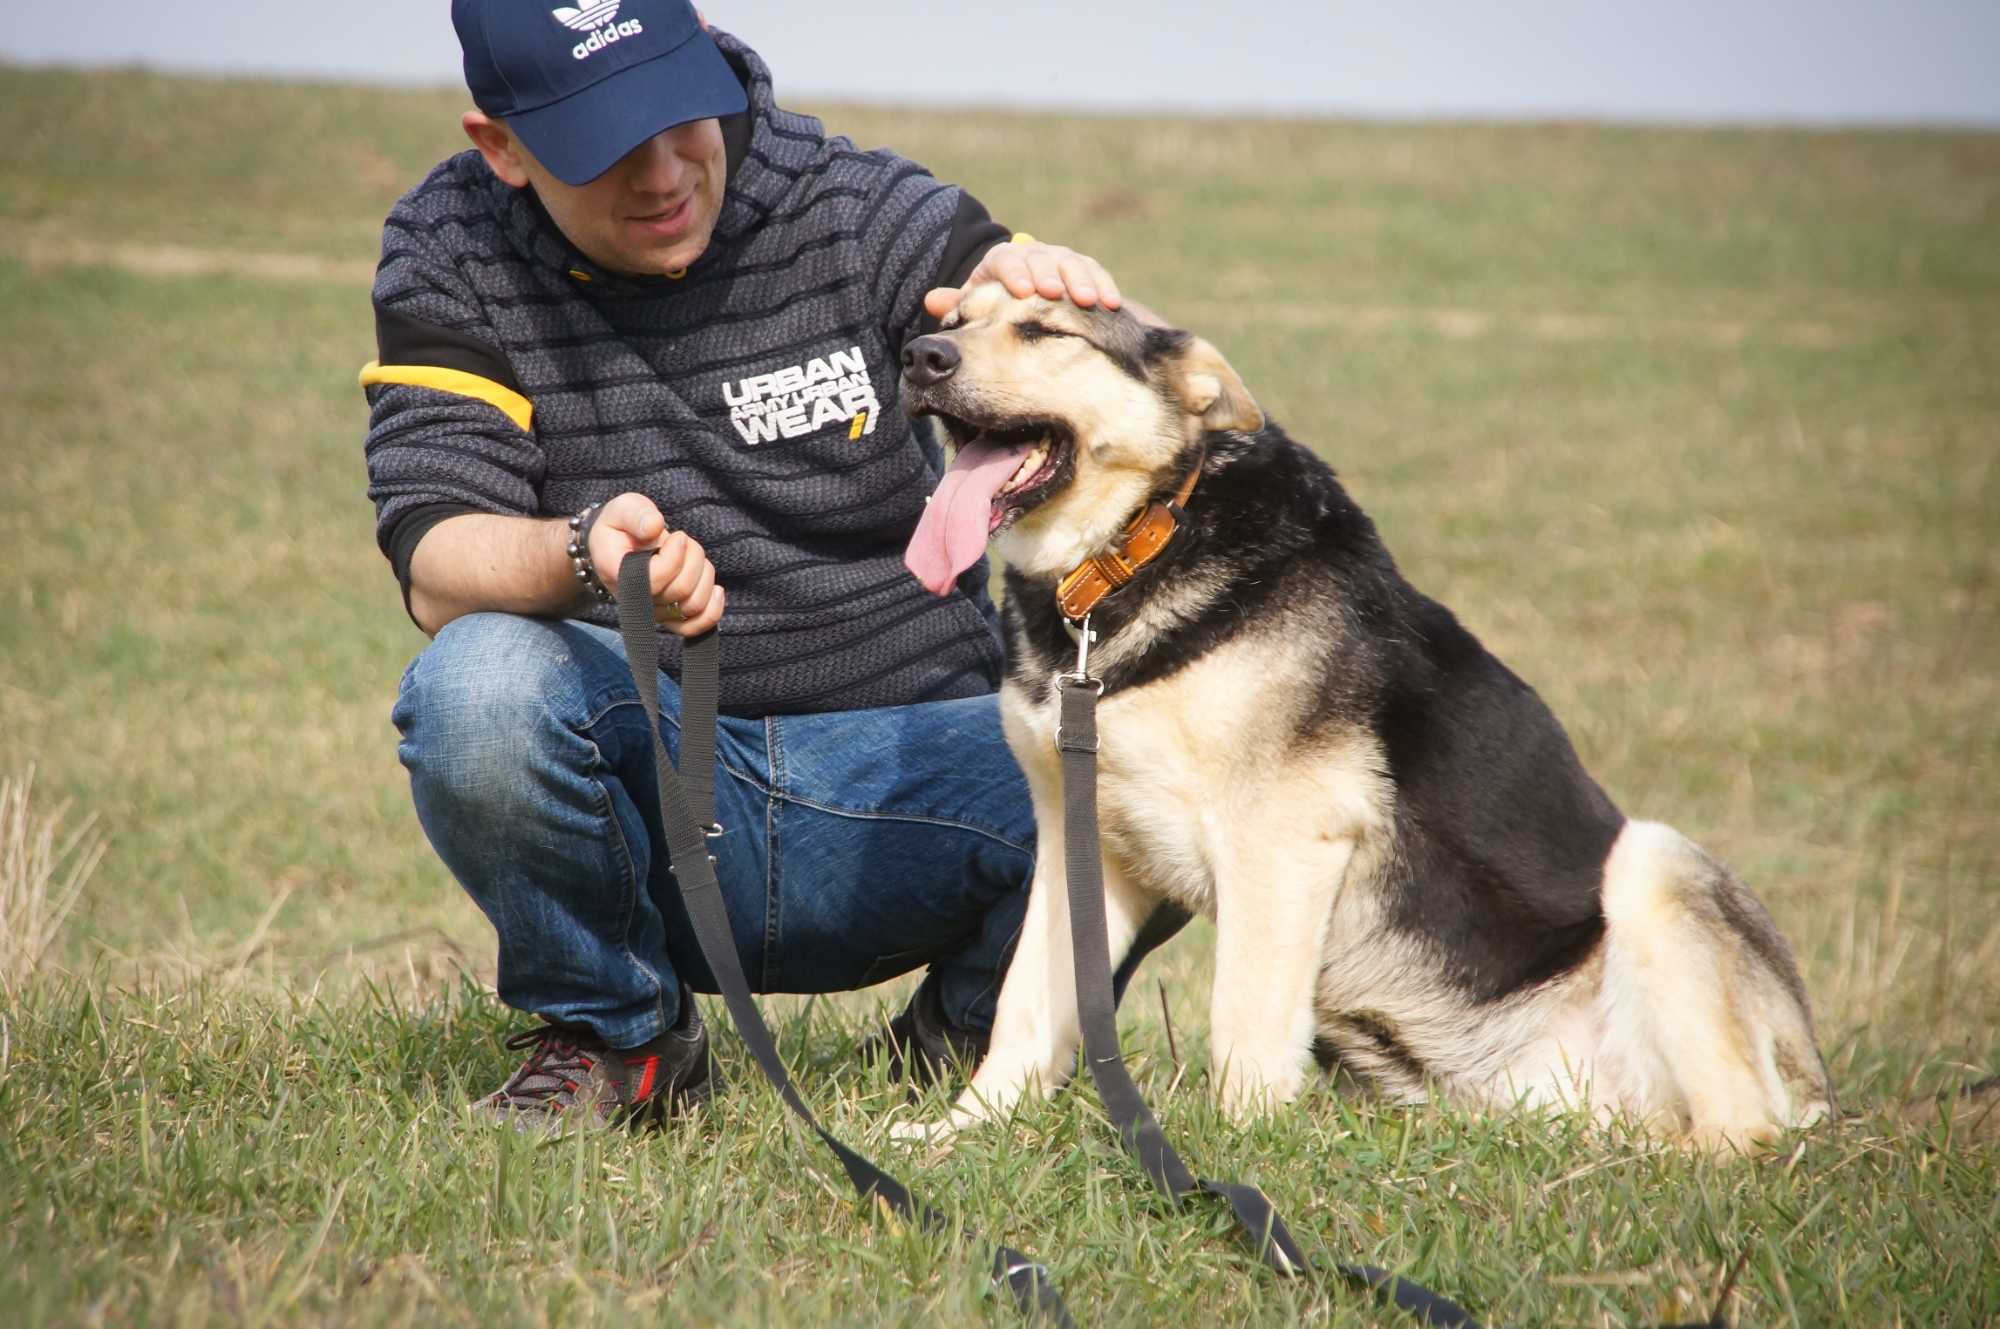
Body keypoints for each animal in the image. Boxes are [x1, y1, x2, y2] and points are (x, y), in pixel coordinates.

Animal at [900, 286, 1832, 1144]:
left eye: (1044, 329)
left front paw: (1238, 1149)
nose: (919, 356)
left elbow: (1243, 1021)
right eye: (953, 318)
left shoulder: (1281, 840)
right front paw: (959, 1131)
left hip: (1653, 862)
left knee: (1746, 1129)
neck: (1131, 549)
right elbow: (1027, 1004)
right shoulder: (1081, 842)